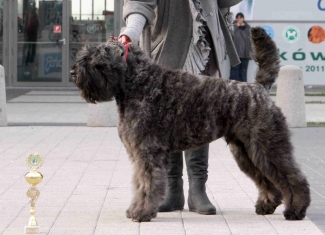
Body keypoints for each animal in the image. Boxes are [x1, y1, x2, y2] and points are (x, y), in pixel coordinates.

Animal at [70, 27, 308, 222]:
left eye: (96, 57)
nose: (73, 72)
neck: (139, 83)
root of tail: (259, 88)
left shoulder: (147, 151)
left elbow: (147, 183)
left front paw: (141, 212)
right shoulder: (140, 153)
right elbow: (140, 183)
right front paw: (136, 209)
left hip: (266, 146)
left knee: (292, 177)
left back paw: (296, 210)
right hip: (245, 151)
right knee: (267, 179)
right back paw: (266, 205)